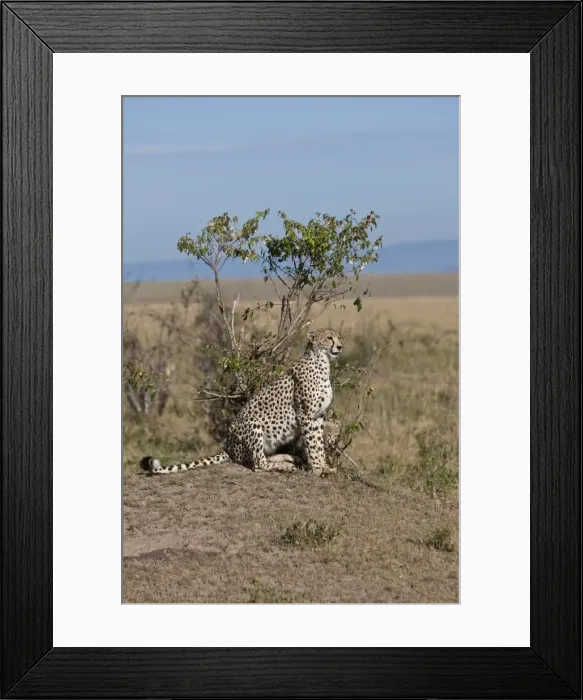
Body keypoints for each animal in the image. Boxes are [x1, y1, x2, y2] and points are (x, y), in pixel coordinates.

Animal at [140, 328, 343, 477]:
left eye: (338, 337)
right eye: (329, 338)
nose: (340, 347)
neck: (322, 363)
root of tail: (227, 446)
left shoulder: (318, 416)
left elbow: (318, 443)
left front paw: (324, 466)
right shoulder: (306, 415)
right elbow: (313, 444)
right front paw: (318, 469)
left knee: (261, 458)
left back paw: (288, 457)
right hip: (253, 424)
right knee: (258, 464)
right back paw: (285, 466)